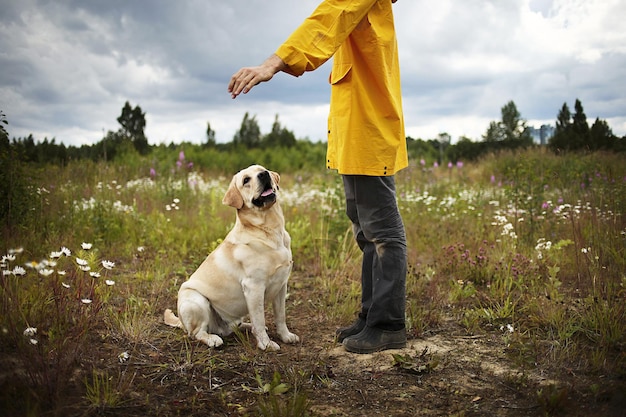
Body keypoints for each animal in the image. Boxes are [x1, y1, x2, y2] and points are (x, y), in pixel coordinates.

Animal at [163, 164, 300, 350]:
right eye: (246, 180)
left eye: (262, 169)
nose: (264, 174)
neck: (269, 230)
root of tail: (181, 323)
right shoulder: (254, 287)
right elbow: (259, 319)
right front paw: (266, 344)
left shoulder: (281, 285)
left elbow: (280, 316)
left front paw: (286, 336)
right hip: (196, 301)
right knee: (196, 333)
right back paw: (212, 339)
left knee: (236, 325)